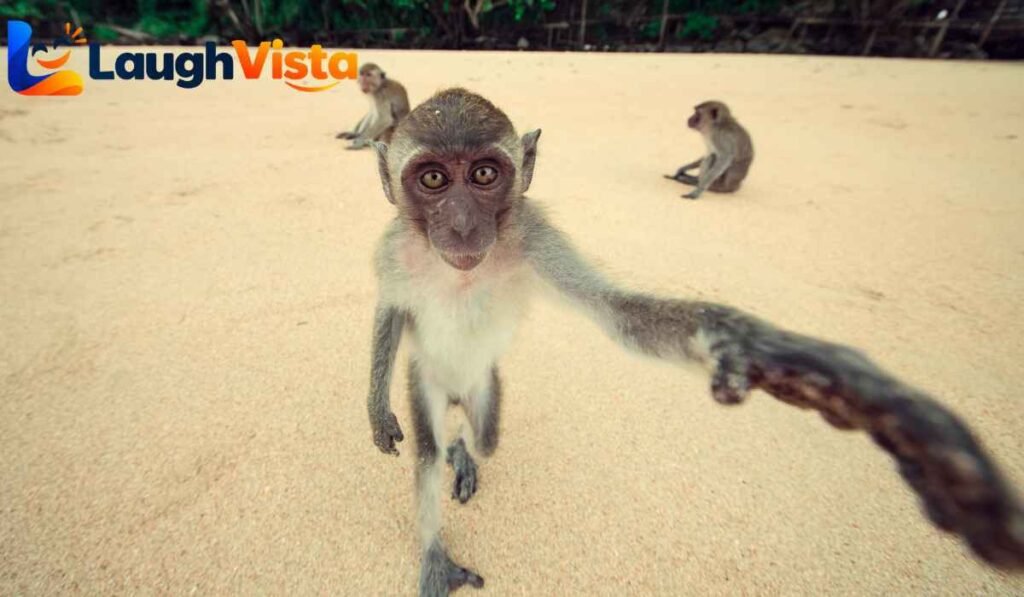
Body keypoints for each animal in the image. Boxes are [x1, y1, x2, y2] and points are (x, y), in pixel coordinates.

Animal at [364, 88, 1024, 595]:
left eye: (483, 174)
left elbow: (622, 315)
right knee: (431, 443)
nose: (461, 225)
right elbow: (392, 311)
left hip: (480, 388)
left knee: (481, 428)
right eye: (432, 178)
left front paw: (775, 355)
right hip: (428, 380)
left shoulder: (534, 235)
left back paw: (469, 446)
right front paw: (378, 413)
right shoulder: (396, 246)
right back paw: (438, 527)